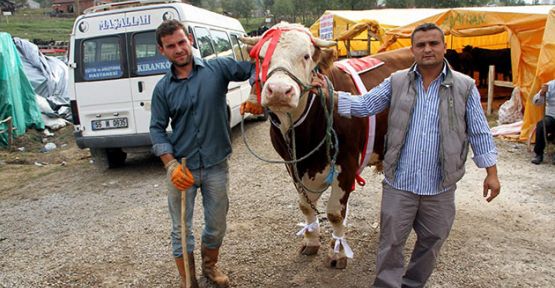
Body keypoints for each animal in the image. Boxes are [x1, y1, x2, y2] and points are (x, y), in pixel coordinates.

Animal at [241, 22, 414, 268]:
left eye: (305, 56)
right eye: (262, 57)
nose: (279, 91)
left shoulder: (347, 165)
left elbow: (334, 213)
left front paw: (338, 252)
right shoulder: (292, 166)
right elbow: (305, 206)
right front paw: (311, 240)